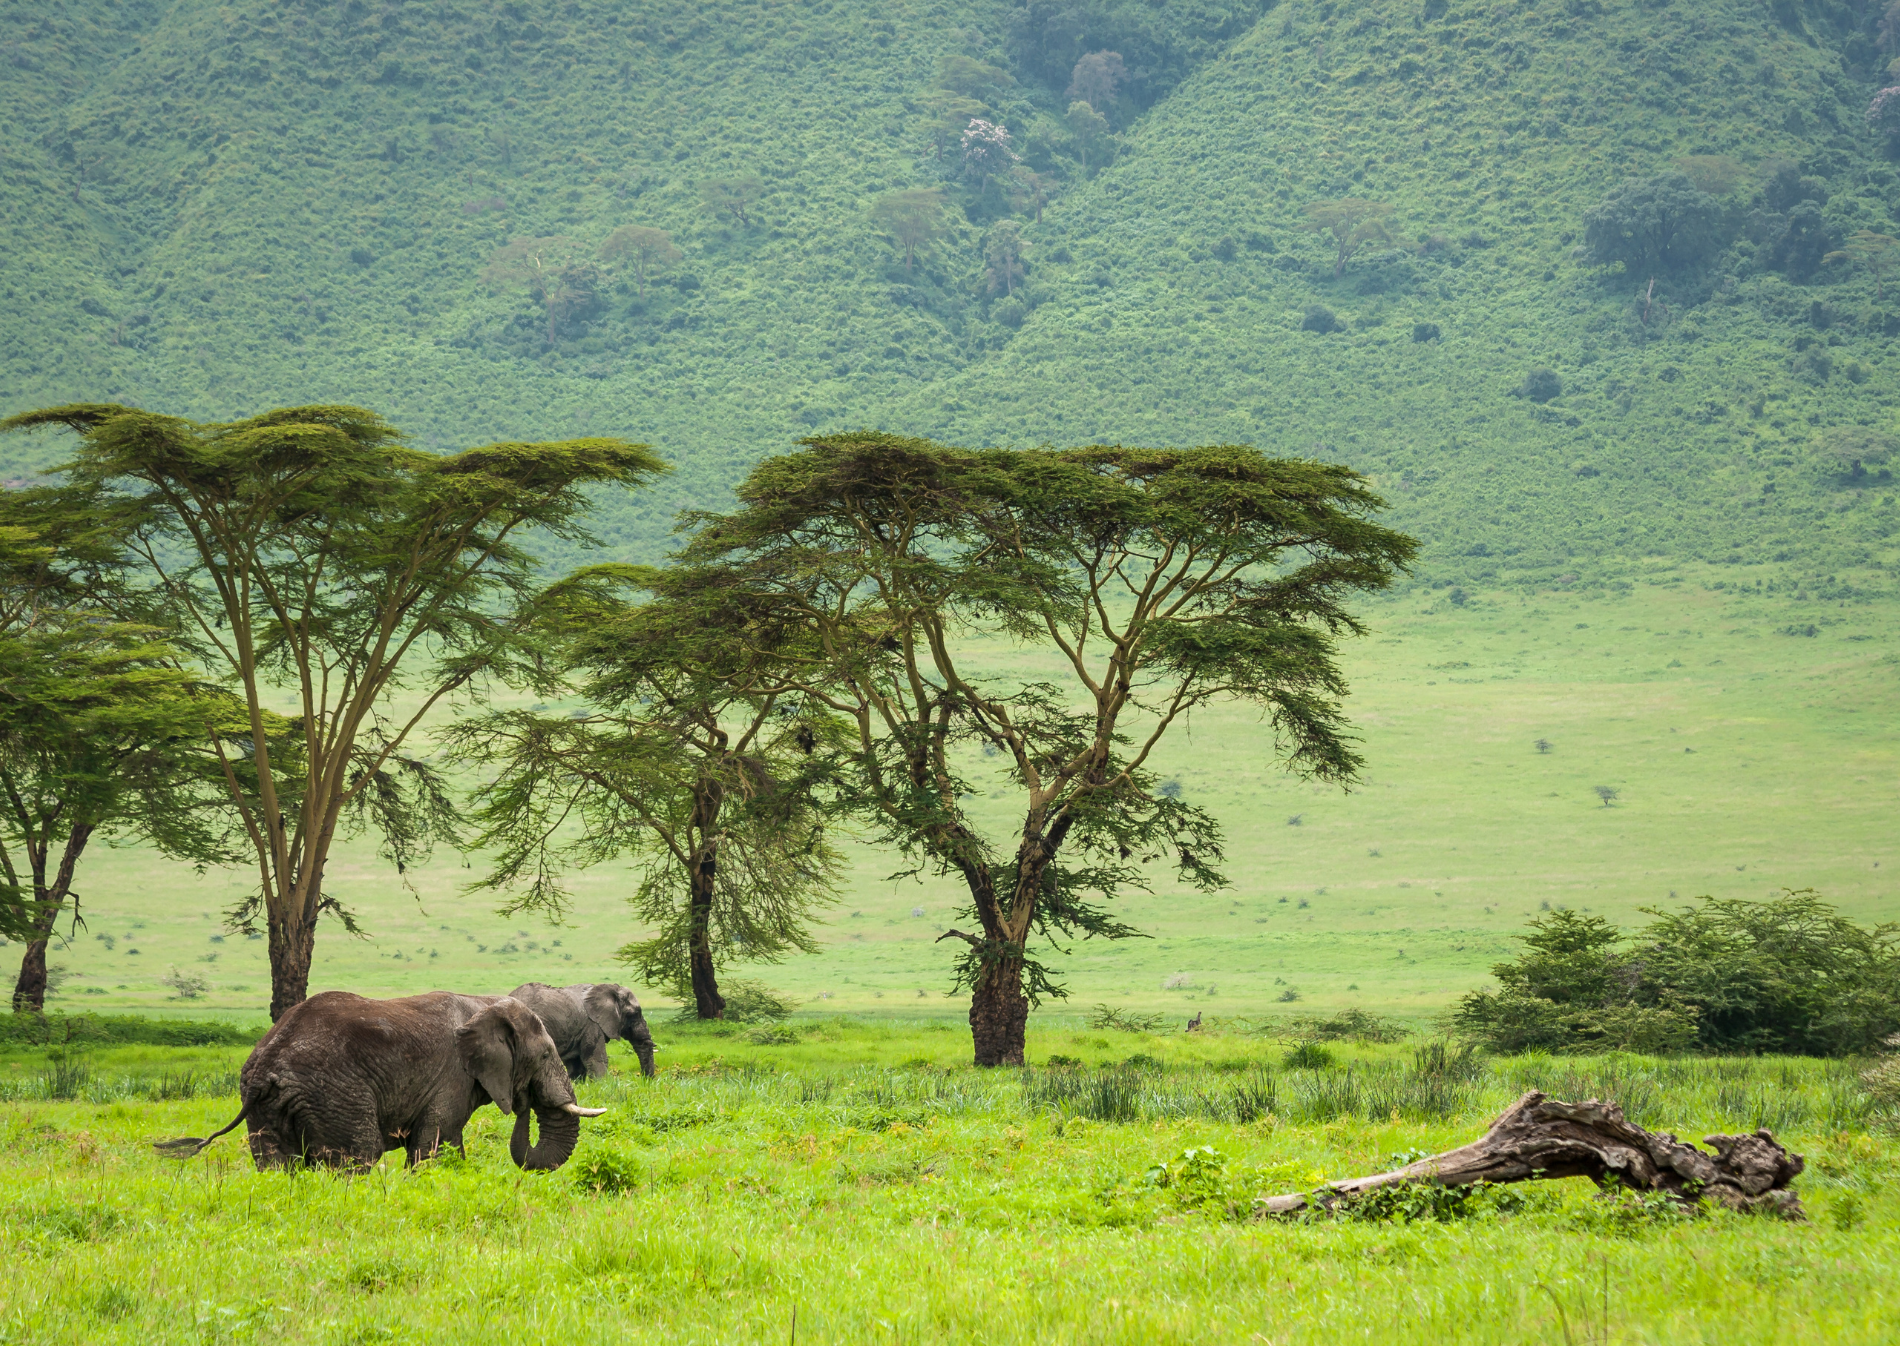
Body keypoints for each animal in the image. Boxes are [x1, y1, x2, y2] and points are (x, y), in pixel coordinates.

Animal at [154, 991, 605, 1171]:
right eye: (544, 1056)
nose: (524, 1101)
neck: (484, 1003)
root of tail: (267, 1064)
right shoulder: (451, 1077)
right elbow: (436, 1145)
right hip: (334, 1094)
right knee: (360, 1155)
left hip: (265, 1103)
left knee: (278, 1164)